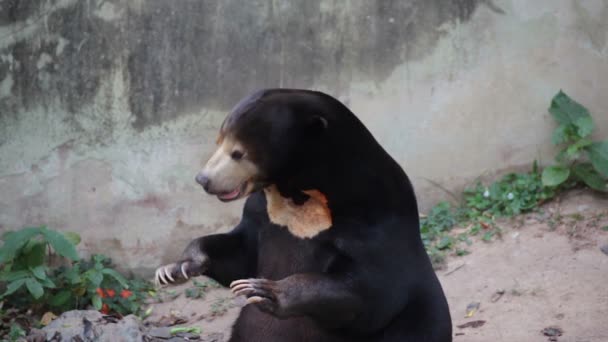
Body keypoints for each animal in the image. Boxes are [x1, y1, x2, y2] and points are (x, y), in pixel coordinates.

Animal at [156, 89, 452, 340]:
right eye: (218, 142)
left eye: (238, 153)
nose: (203, 179)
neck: (300, 195)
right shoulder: (262, 213)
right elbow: (241, 255)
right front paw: (175, 268)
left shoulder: (375, 223)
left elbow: (370, 293)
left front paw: (265, 291)